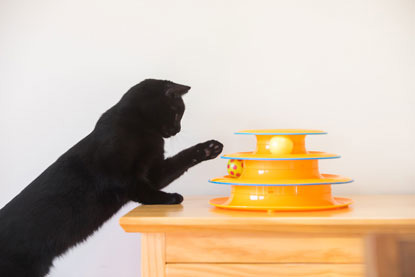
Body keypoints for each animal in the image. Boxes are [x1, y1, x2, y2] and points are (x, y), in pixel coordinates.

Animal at [0, 78, 224, 276]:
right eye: (177, 113)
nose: (177, 129)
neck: (144, 131)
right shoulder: (119, 175)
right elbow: (143, 190)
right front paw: (169, 198)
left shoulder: (153, 172)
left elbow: (179, 161)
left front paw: (208, 149)